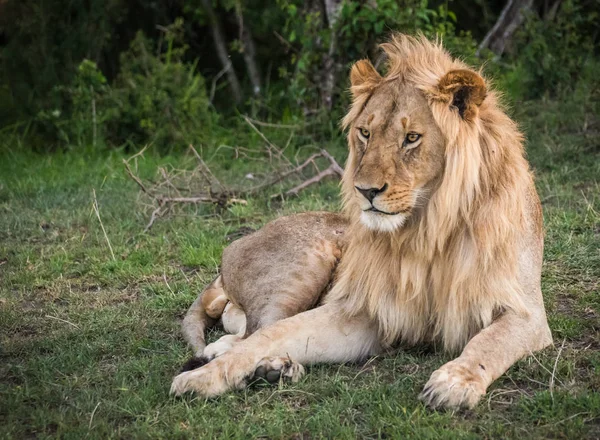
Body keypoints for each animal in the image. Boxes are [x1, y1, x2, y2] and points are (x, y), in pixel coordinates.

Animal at [170, 33, 552, 410]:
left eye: (411, 138)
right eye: (365, 133)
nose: (365, 190)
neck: (426, 229)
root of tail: (232, 250)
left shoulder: (526, 313)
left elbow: (490, 341)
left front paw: (454, 383)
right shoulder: (366, 311)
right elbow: (273, 334)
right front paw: (202, 378)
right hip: (303, 266)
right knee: (255, 327)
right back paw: (267, 366)